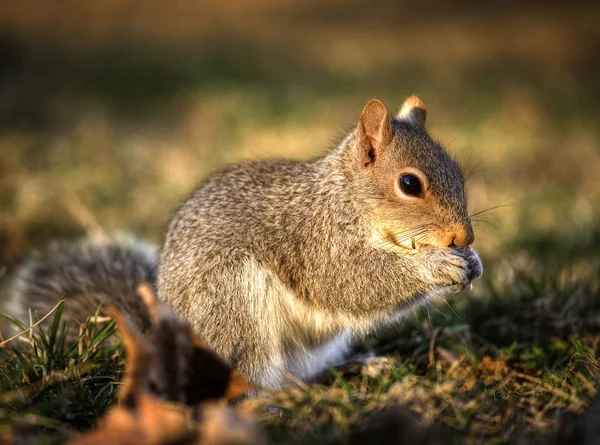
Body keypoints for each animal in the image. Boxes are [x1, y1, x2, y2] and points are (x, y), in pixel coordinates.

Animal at [1, 95, 482, 386]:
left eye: (458, 173)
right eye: (409, 184)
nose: (464, 235)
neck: (345, 199)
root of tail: (161, 343)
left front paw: (472, 259)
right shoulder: (317, 240)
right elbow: (352, 282)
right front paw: (439, 265)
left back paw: (357, 367)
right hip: (231, 301)